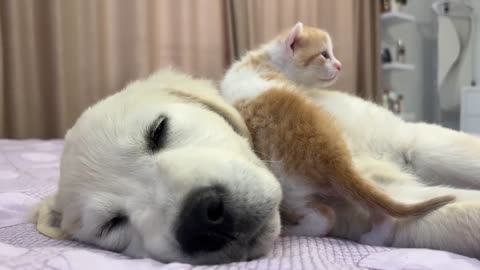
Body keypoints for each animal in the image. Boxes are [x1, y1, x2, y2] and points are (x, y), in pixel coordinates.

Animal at [223, 22, 480, 258]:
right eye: (324, 54)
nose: (339, 65)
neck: (265, 59)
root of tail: (334, 155)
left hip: (292, 187)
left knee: (325, 218)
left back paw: (293, 230)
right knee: (376, 208)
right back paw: (376, 235)